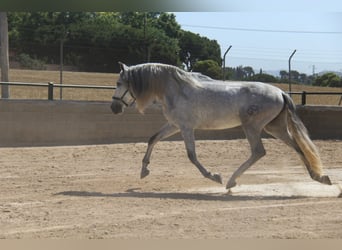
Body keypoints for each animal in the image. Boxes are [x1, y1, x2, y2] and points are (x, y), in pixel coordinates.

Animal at [111, 62, 330, 189]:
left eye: (119, 83)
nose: (114, 108)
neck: (177, 90)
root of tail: (280, 92)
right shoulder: (174, 125)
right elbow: (153, 139)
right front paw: (144, 171)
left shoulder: (186, 127)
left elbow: (192, 155)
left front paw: (214, 176)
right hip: (274, 128)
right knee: (297, 146)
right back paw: (319, 177)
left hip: (253, 127)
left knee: (259, 151)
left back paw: (231, 181)